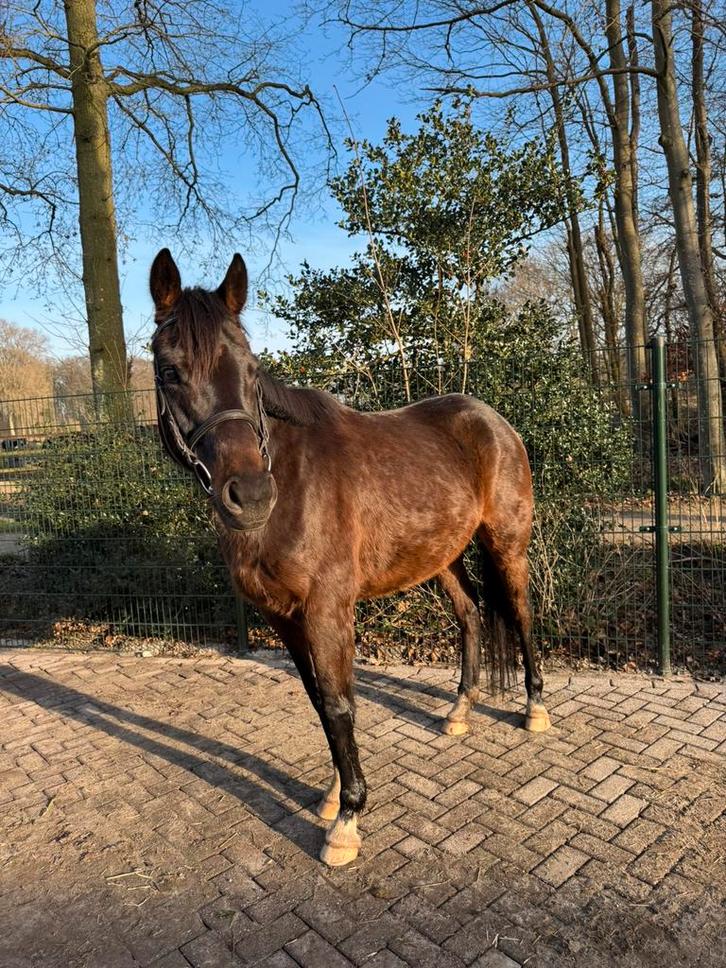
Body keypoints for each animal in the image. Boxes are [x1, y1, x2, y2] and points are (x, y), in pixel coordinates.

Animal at [149, 249, 551, 867]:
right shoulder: (283, 618)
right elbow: (320, 701)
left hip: (506, 544)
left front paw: (348, 820)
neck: (293, 484)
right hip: (441, 557)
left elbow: (341, 703)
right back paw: (460, 711)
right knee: (471, 615)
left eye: (250, 369)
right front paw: (335, 794)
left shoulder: (327, 609)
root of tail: (493, 420)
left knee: (522, 615)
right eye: (169, 371)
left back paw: (534, 709)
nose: (250, 495)